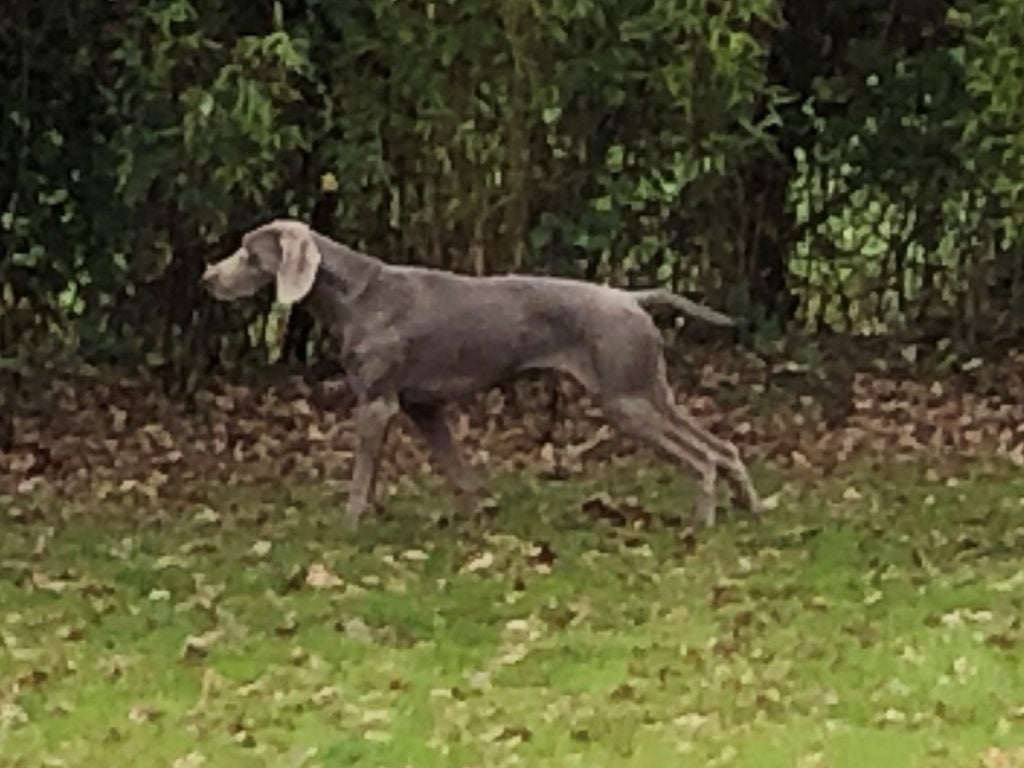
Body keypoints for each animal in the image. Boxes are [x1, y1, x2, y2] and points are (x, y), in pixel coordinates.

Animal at [201, 219, 761, 528]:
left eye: (249, 254)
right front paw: (477, 515)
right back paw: (749, 506)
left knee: (702, 458)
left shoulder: (377, 403)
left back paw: (703, 521)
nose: (207, 276)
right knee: (724, 448)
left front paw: (350, 523)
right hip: (647, 389)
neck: (358, 295)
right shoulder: (422, 407)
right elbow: (457, 469)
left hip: (627, 400)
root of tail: (631, 297)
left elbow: (362, 474)